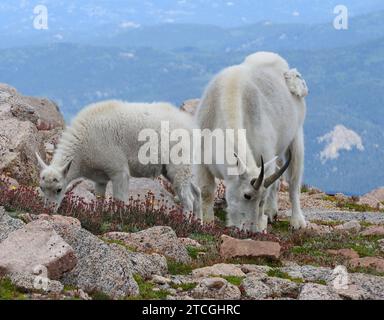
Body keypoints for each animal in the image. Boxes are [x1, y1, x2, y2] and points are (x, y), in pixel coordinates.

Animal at [36, 100, 201, 216]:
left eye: (59, 189)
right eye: (42, 188)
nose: (48, 211)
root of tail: (191, 128)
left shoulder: (119, 171)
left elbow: (119, 200)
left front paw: (118, 219)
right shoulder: (100, 178)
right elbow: (99, 199)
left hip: (179, 164)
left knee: (188, 199)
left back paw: (185, 222)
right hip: (181, 168)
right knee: (197, 193)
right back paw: (198, 224)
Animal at [195, 52, 308, 232]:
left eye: (259, 200)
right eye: (246, 195)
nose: (250, 229)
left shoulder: (264, 154)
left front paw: (261, 224)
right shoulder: (202, 161)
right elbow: (206, 191)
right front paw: (205, 222)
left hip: (296, 135)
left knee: (294, 182)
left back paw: (297, 221)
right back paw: (272, 212)